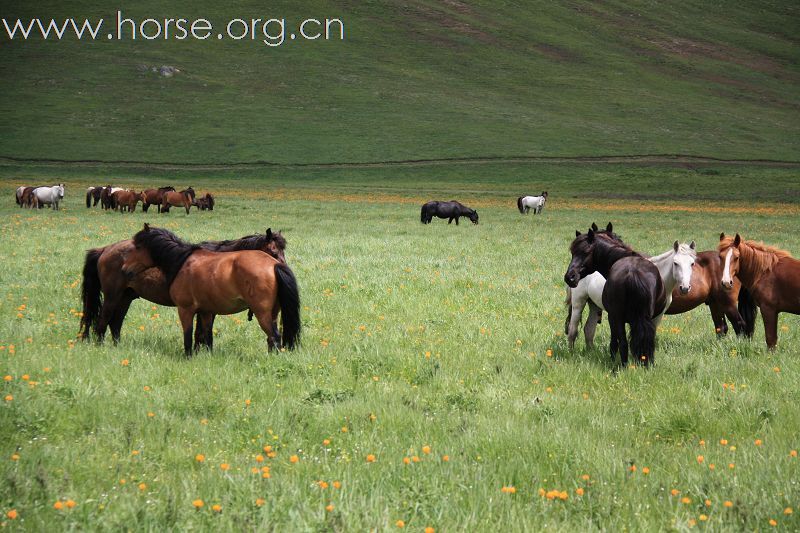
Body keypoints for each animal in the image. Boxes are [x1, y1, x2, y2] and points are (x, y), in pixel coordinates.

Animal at [78, 227, 290, 348]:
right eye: (273, 251)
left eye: (282, 252)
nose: (283, 270)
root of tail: (105, 249)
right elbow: (200, 334)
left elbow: (202, 333)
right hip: (113, 296)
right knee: (103, 322)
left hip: (125, 297)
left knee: (115, 323)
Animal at [120, 222, 302, 356]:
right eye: (275, 251)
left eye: (137, 247)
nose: (125, 269)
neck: (183, 261)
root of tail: (274, 265)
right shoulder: (206, 311)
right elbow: (206, 336)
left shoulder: (185, 309)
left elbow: (189, 336)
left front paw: (189, 357)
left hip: (263, 313)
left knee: (274, 337)